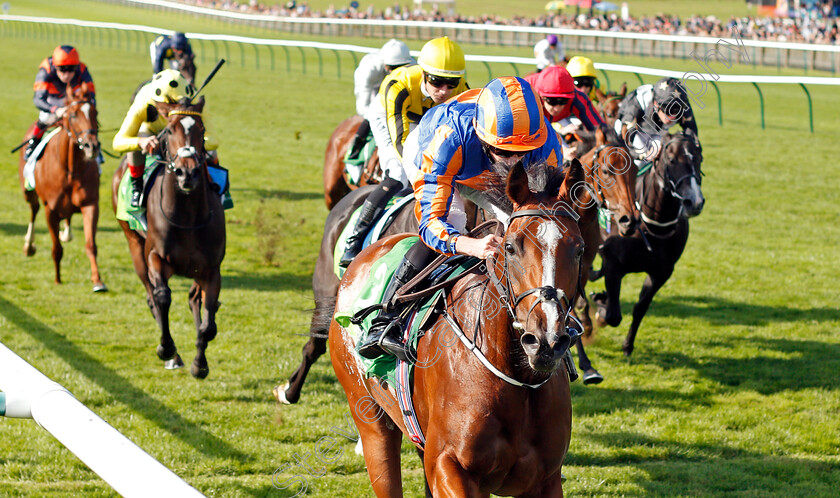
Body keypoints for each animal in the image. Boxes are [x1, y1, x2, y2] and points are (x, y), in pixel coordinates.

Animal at [19, 82, 106, 292]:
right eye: (73, 115)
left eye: (95, 112)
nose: (92, 146)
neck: (70, 170)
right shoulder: (50, 210)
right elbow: (56, 248)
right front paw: (57, 278)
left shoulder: (90, 204)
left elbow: (91, 245)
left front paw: (98, 281)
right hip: (29, 193)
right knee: (33, 210)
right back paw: (29, 245)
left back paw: (66, 233)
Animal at [110, 96, 226, 378]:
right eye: (170, 131)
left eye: (201, 131)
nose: (188, 173)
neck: (188, 218)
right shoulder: (156, 257)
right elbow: (162, 297)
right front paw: (166, 348)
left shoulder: (211, 269)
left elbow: (209, 322)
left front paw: (200, 364)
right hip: (134, 243)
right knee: (152, 296)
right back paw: (173, 354)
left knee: (194, 299)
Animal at [328, 161, 584, 496]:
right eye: (511, 247)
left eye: (579, 249)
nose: (546, 341)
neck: (516, 374)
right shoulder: (447, 466)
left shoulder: (546, 479)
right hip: (370, 418)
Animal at [592, 131, 704, 358]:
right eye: (672, 160)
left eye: (699, 159)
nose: (694, 202)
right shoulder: (613, 264)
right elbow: (613, 316)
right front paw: (600, 308)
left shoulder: (661, 272)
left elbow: (640, 308)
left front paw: (627, 345)